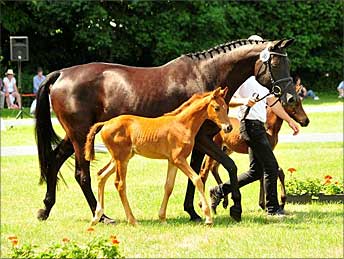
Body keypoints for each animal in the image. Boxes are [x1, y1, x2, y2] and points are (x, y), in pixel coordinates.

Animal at [84, 87, 232, 225]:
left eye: (226, 107)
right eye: (216, 108)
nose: (228, 127)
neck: (182, 125)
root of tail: (105, 124)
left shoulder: (172, 161)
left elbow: (169, 186)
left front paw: (162, 218)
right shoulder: (179, 159)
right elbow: (197, 179)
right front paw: (208, 218)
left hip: (119, 158)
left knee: (101, 175)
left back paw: (96, 217)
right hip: (122, 159)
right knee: (119, 184)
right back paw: (132, 220)